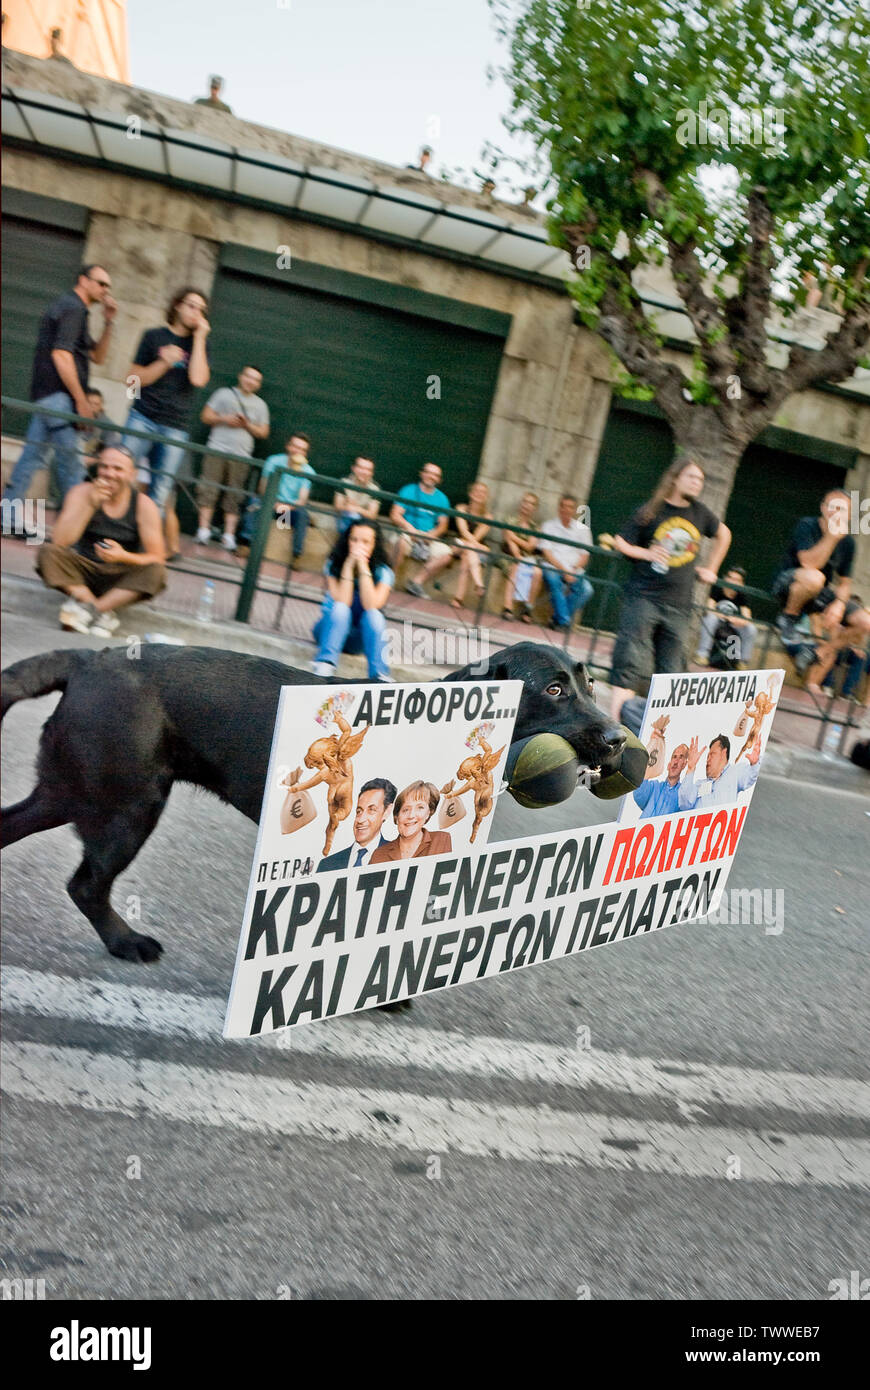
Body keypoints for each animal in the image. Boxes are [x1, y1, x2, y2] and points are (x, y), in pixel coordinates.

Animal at [3, 636, 619, 956]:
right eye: (554, 689)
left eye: (591, 685)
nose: (617, 738)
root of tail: (89, 657)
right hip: (128, 806)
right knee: (86, 885)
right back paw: (125, 943)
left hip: (71, 791)